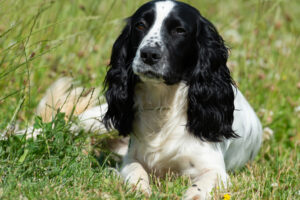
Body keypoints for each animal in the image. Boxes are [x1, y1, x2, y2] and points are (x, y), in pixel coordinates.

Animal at [14, 0, 262, 199]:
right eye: (140, 26)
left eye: (179, 30)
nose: (149, 54)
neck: (163, 105)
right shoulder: (131, 157)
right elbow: (135, 170)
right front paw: (139, 189)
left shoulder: (213, 169)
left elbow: (200, 187)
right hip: (98, 122)